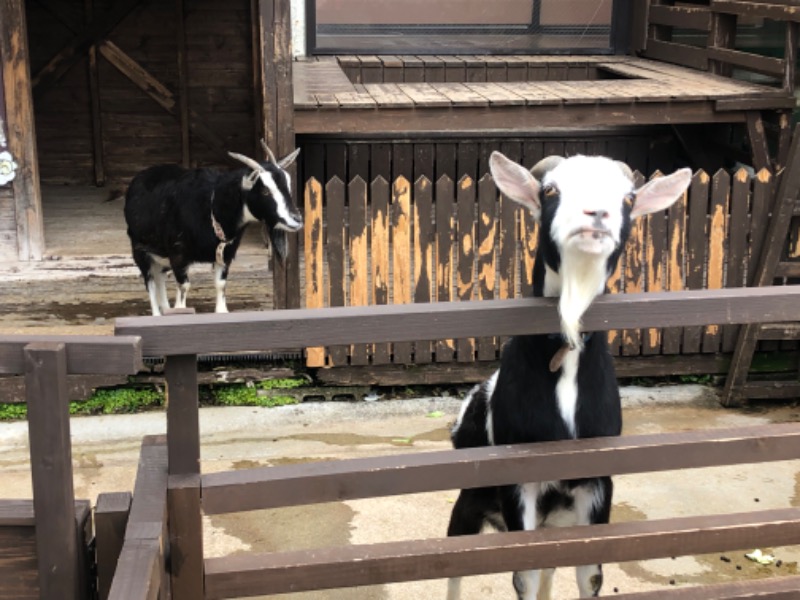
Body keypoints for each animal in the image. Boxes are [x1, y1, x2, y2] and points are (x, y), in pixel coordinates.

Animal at [123, 144, 302, 316]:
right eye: (265, 190)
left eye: (288, 186)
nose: (297, 219)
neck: (212, 208)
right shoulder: (178, 255)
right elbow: (184, 287)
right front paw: (179, 311)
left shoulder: (225, 255)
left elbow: (220, 284)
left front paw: (221, 311)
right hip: (140, 250)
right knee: (151, 282)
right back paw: (156, 313)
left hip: (160, 255)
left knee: (160, 277)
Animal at [446, 152, 692, 596]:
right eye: (549, 191)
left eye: (629, 198)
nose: (596, 212)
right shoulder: (518, 482)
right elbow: (523, 574)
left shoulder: (597, 481)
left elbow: (587, 571)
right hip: (471, 501)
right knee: (455, 564)